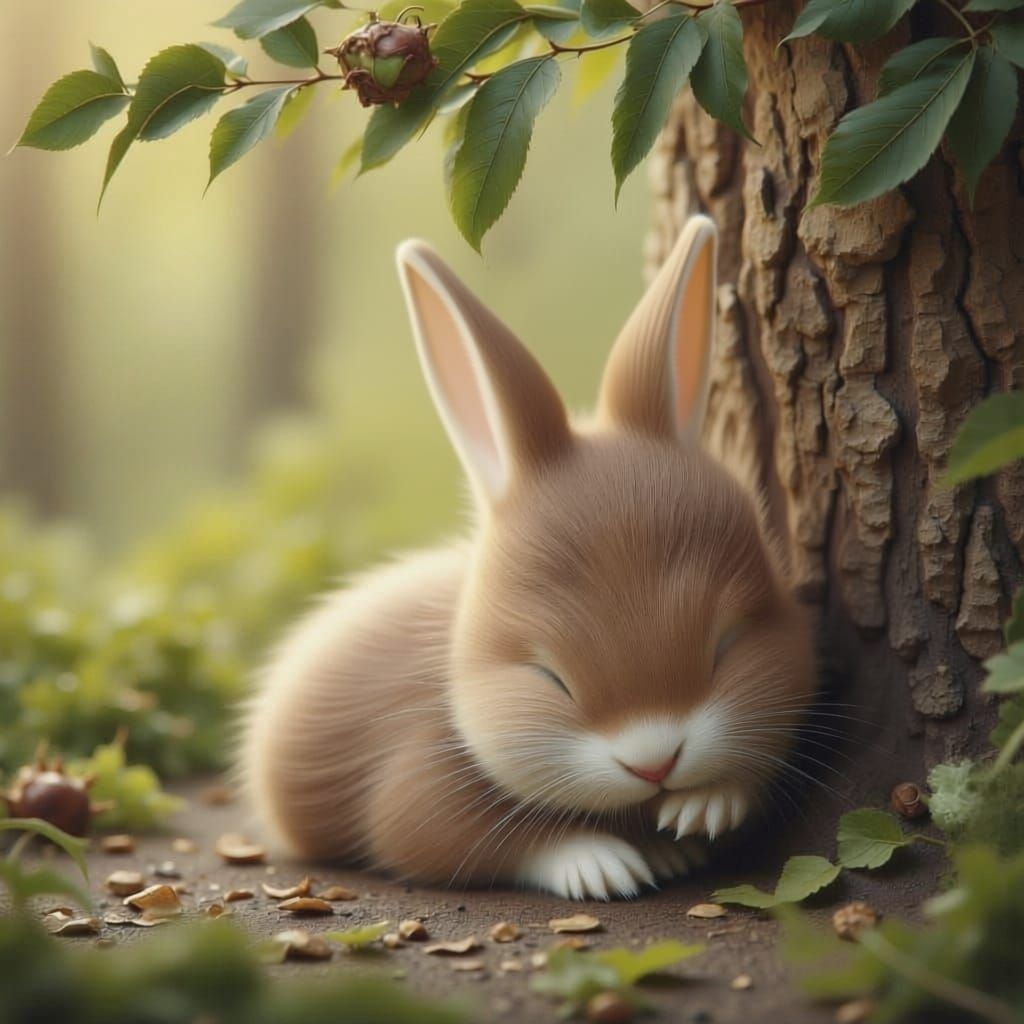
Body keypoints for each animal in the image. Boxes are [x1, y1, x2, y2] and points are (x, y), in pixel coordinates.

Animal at [241, 215, 816, 900]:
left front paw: (703, 808)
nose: (655, 764)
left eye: (726, 644)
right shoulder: (417, 776)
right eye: (548, 677)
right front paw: (603, 865)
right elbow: (475, 838)